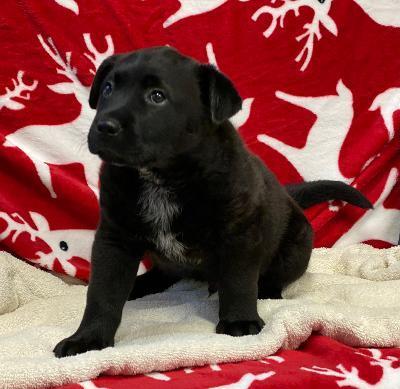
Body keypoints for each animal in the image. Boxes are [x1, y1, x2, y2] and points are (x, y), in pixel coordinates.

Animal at [53, 47, 372, 356]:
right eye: (107, 88)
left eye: (157, 96)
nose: (104, 126)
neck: (161, 177)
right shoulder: (114, 237)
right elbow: (102, 293)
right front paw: (87, 338)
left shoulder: (239, 233)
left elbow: (239, 281)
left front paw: (240, 321)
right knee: (165, 272)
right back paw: (140, 284)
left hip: (297, 245)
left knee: (275, 275)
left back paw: (266, 289)